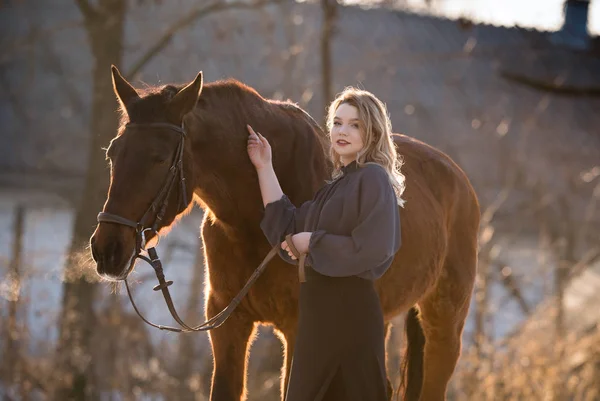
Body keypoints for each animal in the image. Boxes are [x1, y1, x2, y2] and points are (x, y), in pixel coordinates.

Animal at [89, 66, 480, 400]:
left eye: (158, 158)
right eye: (112, 153)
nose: (106, 249)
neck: (251, 223)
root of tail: (458, 178)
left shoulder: (299, 333)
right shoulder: (229, 327)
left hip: (444, 327)